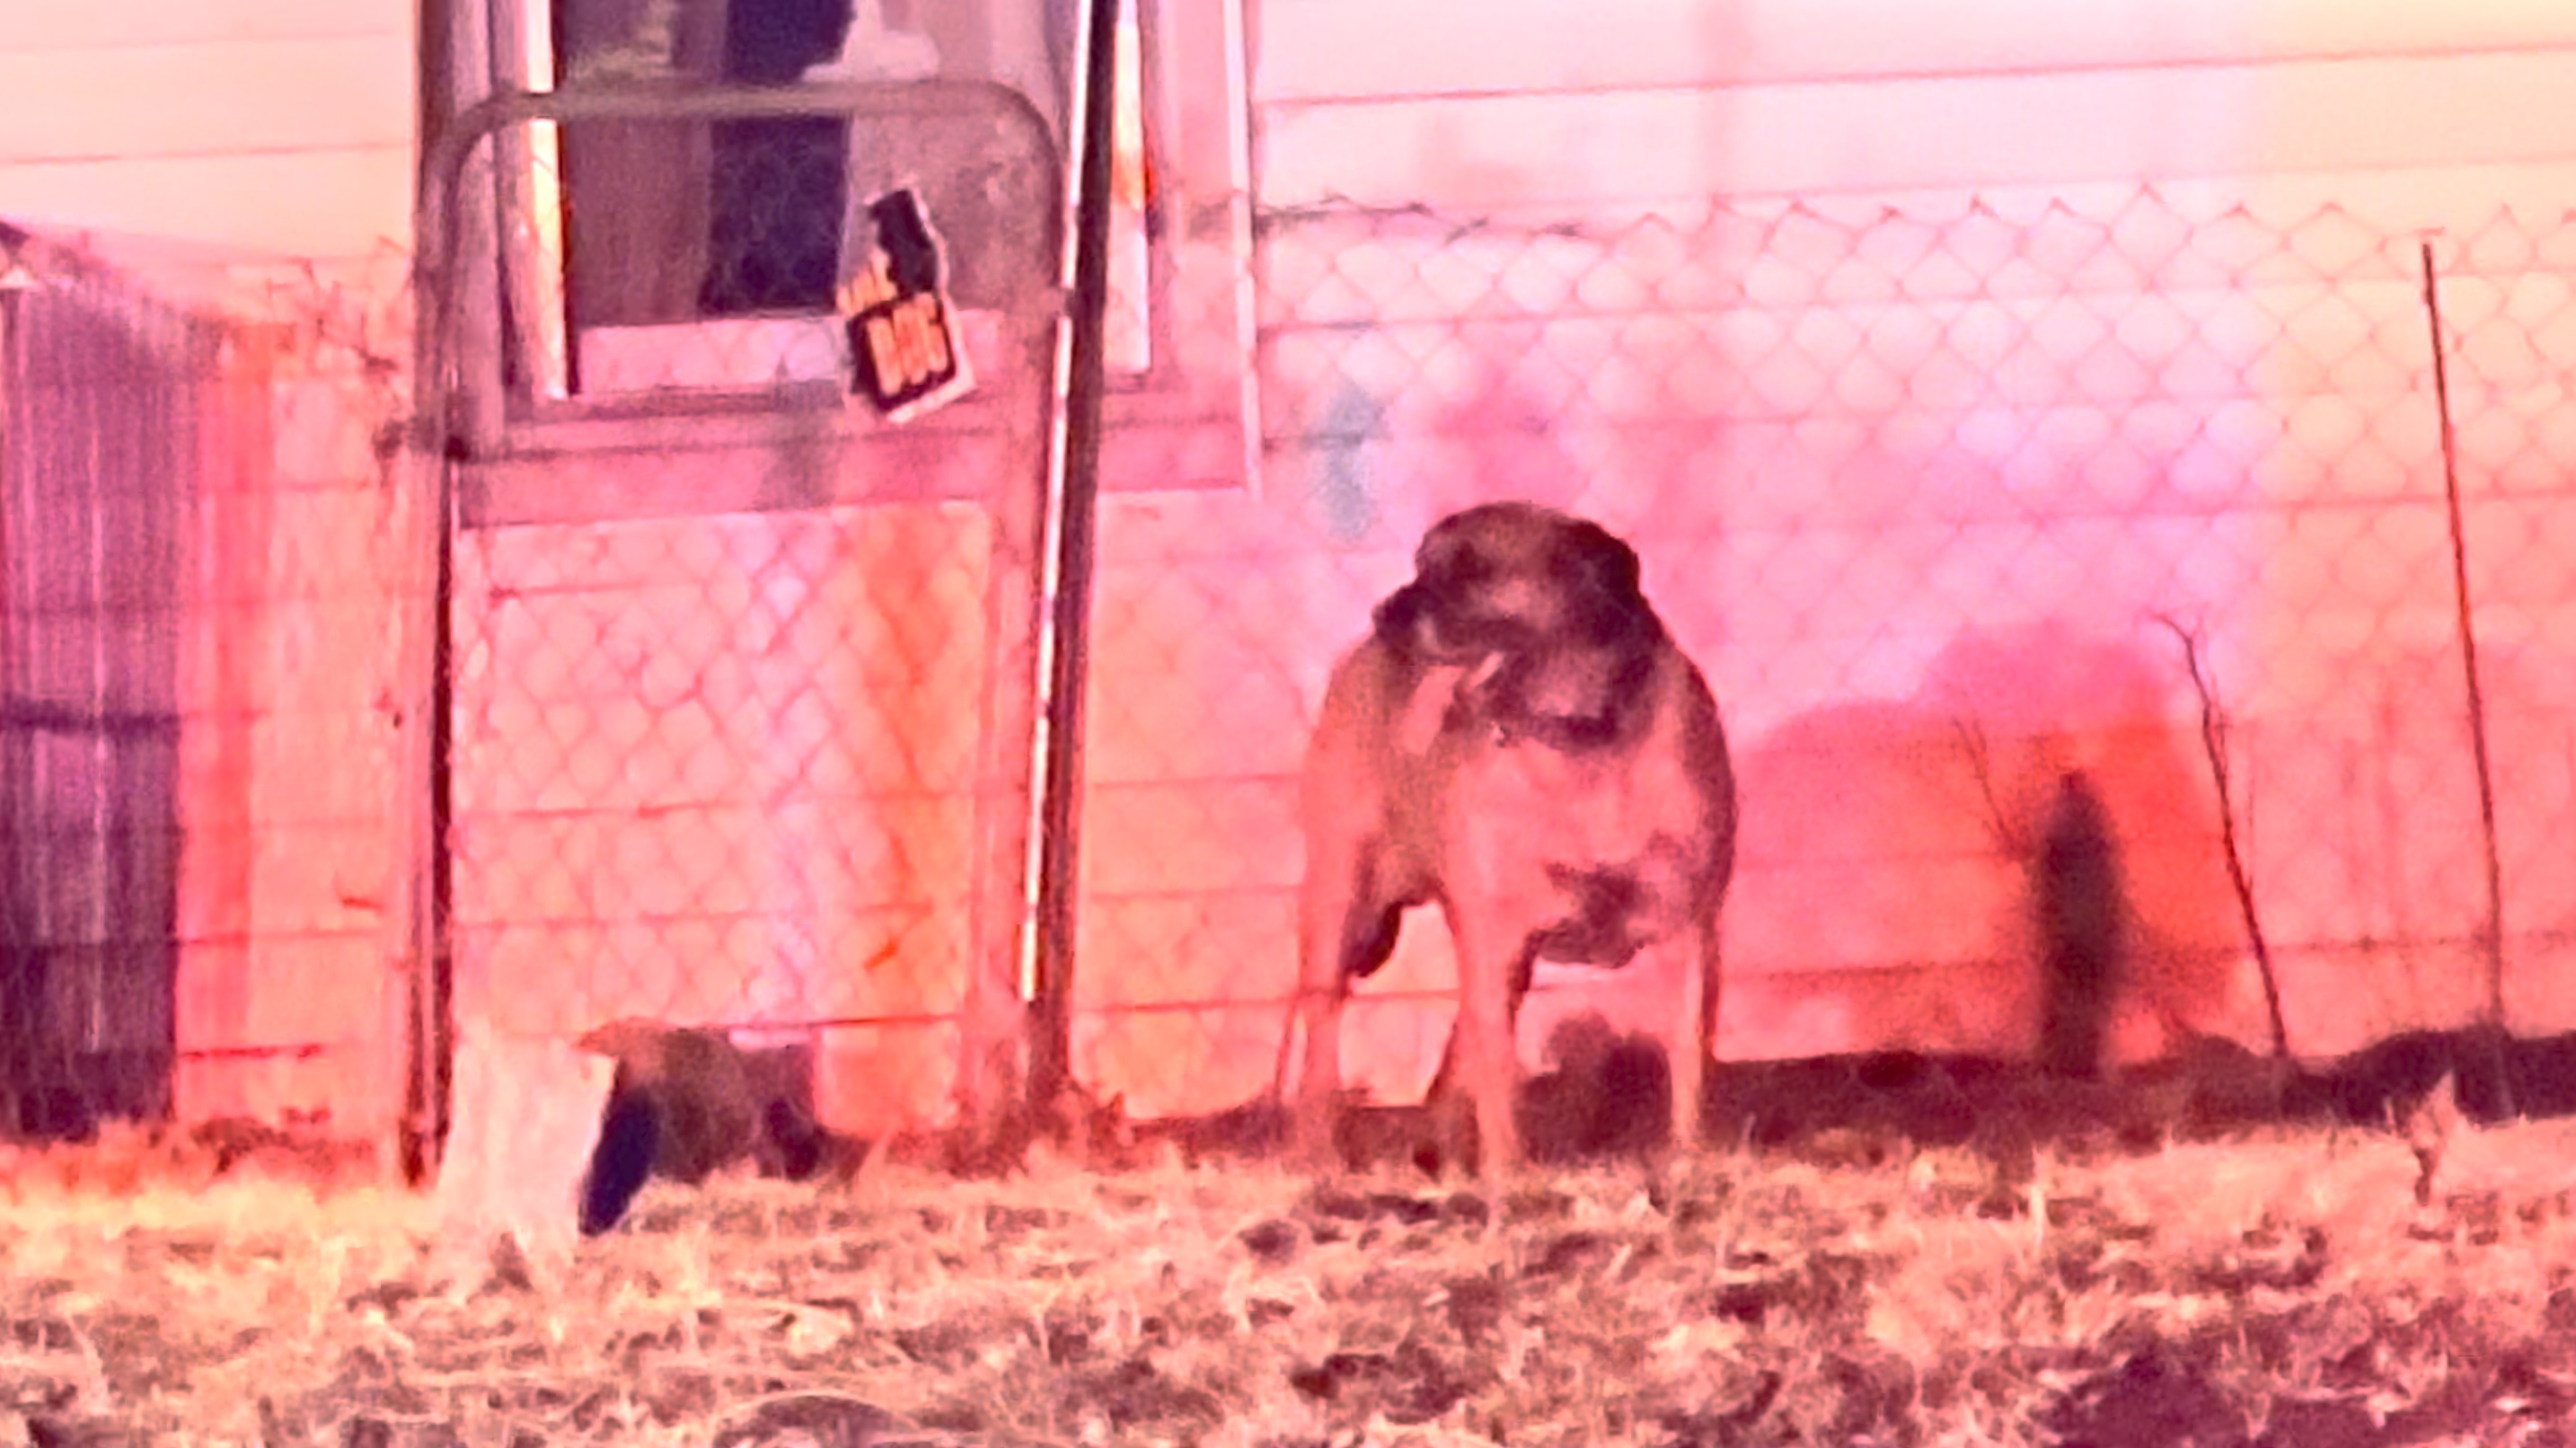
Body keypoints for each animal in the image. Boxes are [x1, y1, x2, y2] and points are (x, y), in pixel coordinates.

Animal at [1273, 501, 1738, 1178]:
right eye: (1422, 563)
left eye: (1475, 571)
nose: (1383, 615)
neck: (1579, 738)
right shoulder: (1495, 936)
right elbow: (1497, 1076)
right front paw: (1509, 1176)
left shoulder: (1689, 930)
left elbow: (1688, 1060)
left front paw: (1688, 1157)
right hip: (1340, 905)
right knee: (1324, 1037)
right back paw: (1320, 1155)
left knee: (1454, 1053)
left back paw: (1441, 1152)